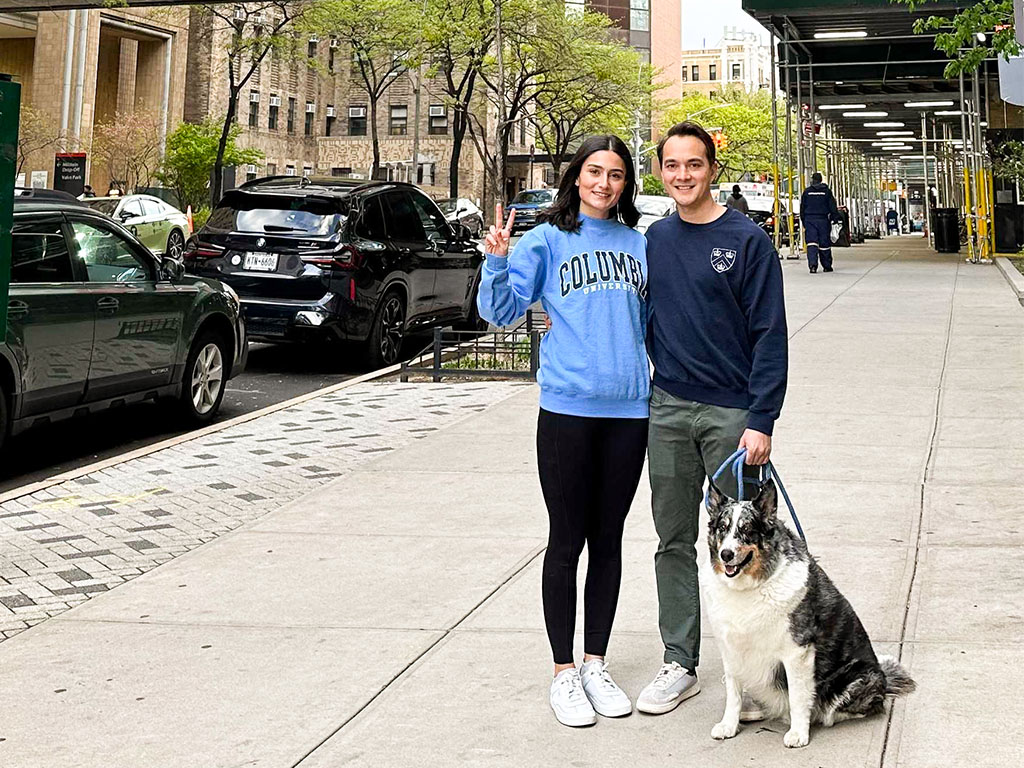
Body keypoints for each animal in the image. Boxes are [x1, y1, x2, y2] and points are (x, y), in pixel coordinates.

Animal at [700, 481, 917, 753]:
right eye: (723, 527)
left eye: (747, 530)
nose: (726, 554)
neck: (750, 588)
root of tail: (884, 677)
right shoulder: (731, 649)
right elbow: (734, 693)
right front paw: (729, 725)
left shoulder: (797, 652)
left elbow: (798, 696)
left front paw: (799, 732)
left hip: (857, 678)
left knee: (848, 707)